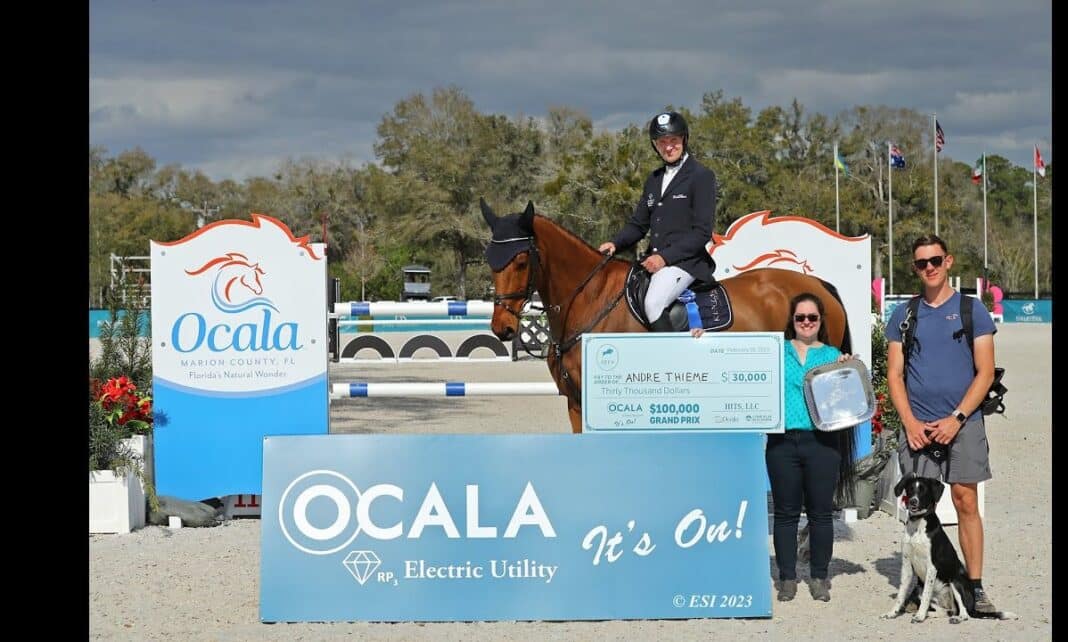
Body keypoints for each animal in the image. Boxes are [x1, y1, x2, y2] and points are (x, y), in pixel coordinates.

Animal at [480, 199, 854, 434]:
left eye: (521, 261)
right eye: (489, 259)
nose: (503, 328)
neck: (590, 299)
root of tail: (817, 285)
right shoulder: (576, 403)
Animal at [881, 473, 1017, 623]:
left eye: (923, 490)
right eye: (910, 489)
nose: (913, 502)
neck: (918, 524)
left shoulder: (932, 566)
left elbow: (927, 595)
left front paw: (920, 616)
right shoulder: (906, 565)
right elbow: (901, 594)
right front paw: (892, 613)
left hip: (955, 581)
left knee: (964, 612)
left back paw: (956, 618)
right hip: (919, 589)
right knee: (946, 611)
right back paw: (930, 614)